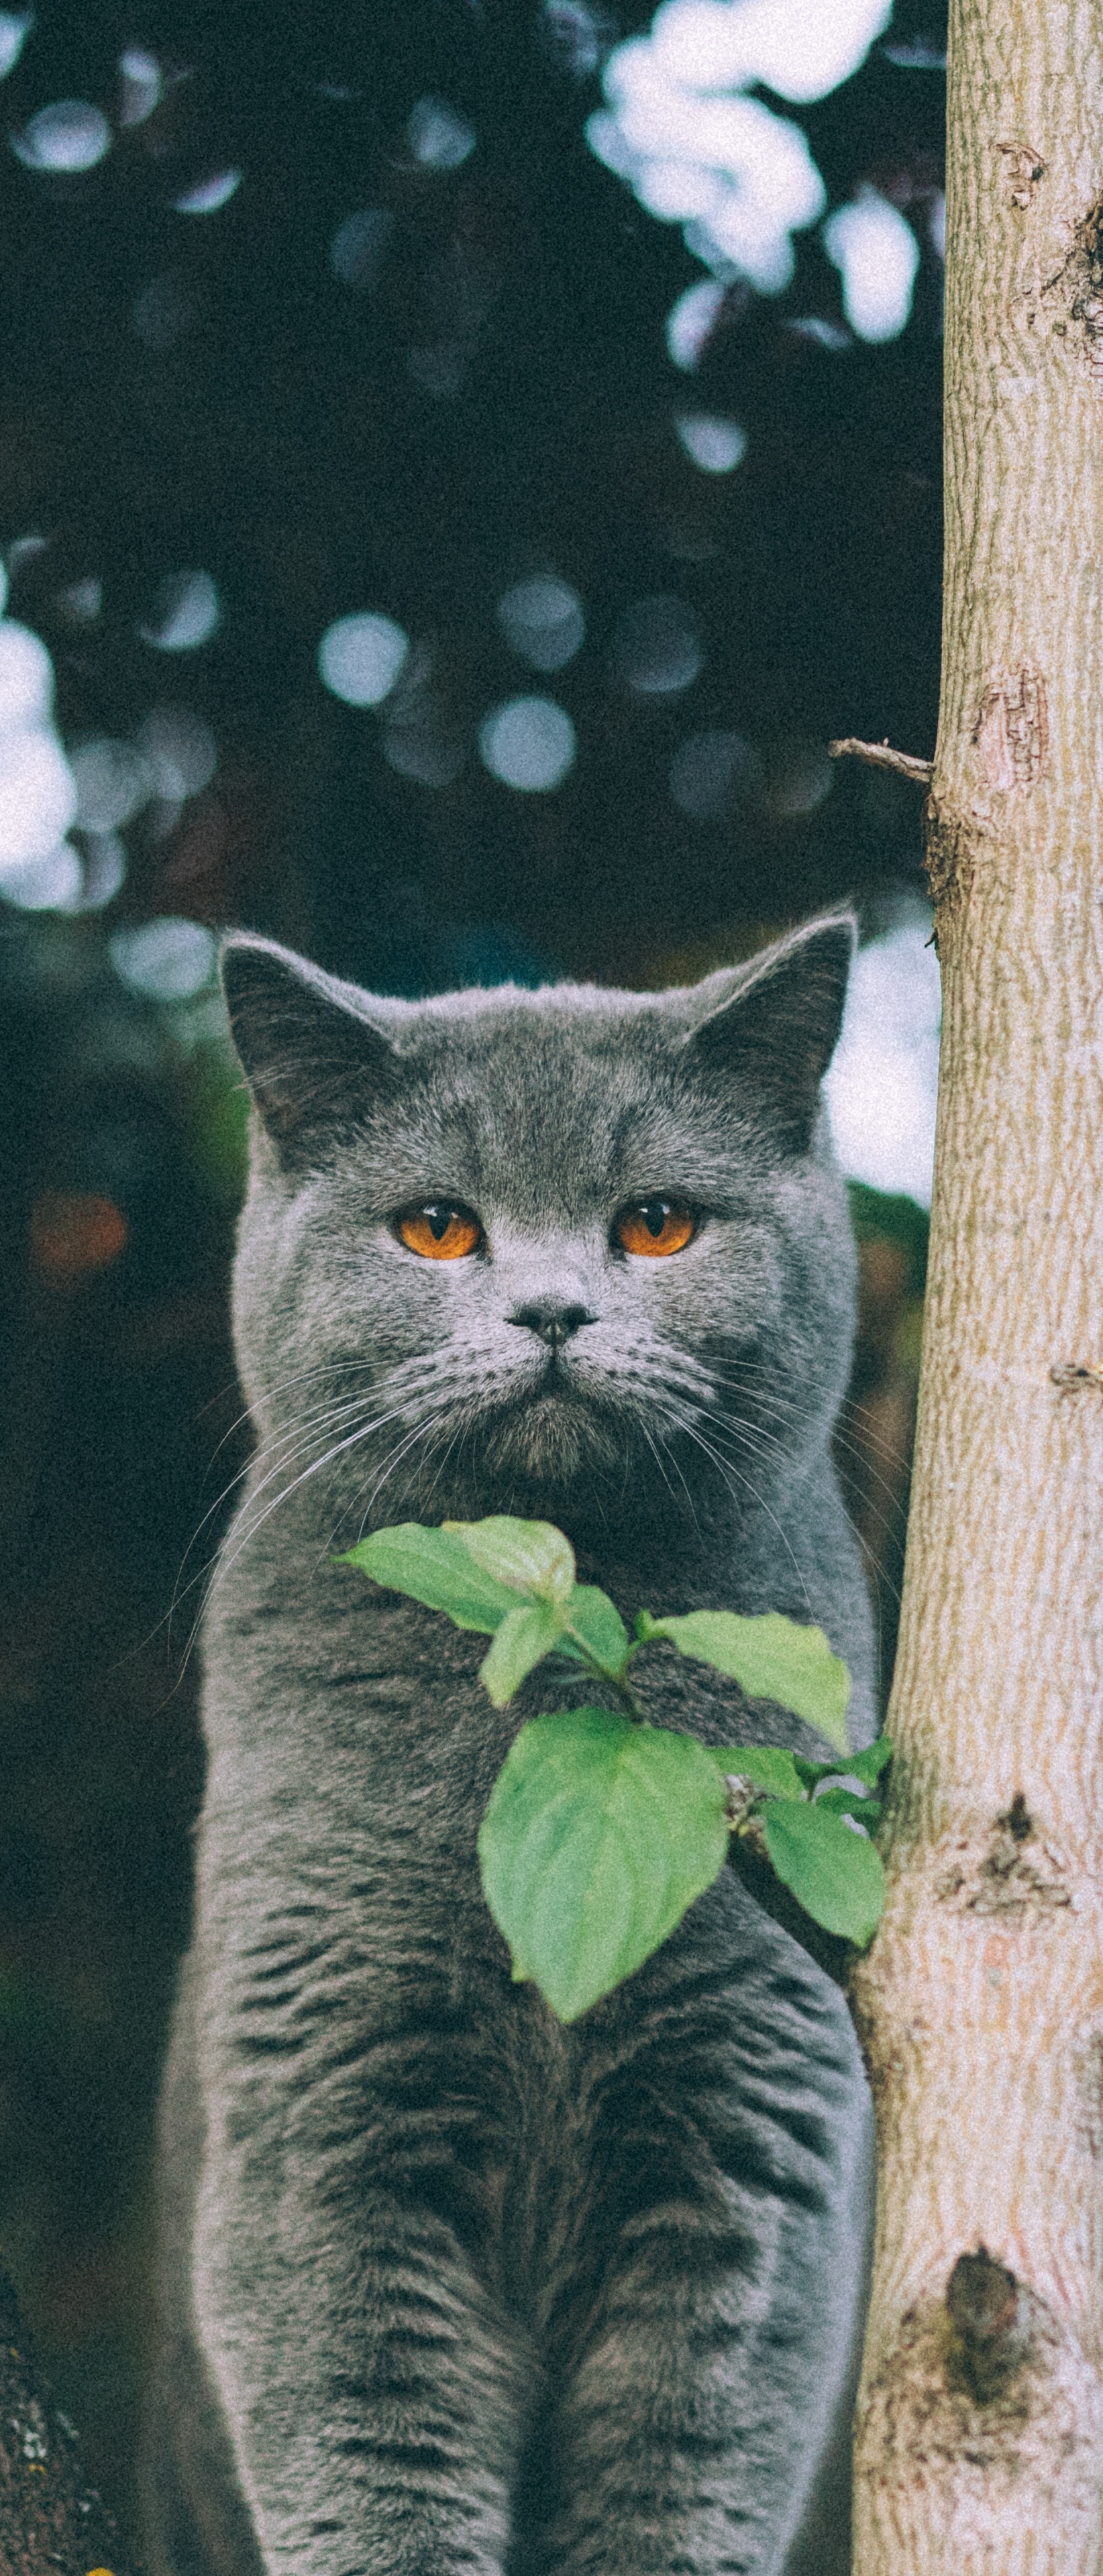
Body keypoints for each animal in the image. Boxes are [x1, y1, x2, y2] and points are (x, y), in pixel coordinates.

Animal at [140, 917, 881, 2576]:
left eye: (659, 1225)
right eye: (435, 1229)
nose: (551, 1312)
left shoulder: (757, 2131)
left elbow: (687, 2465)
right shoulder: (320, 2108)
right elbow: (369, 2451)